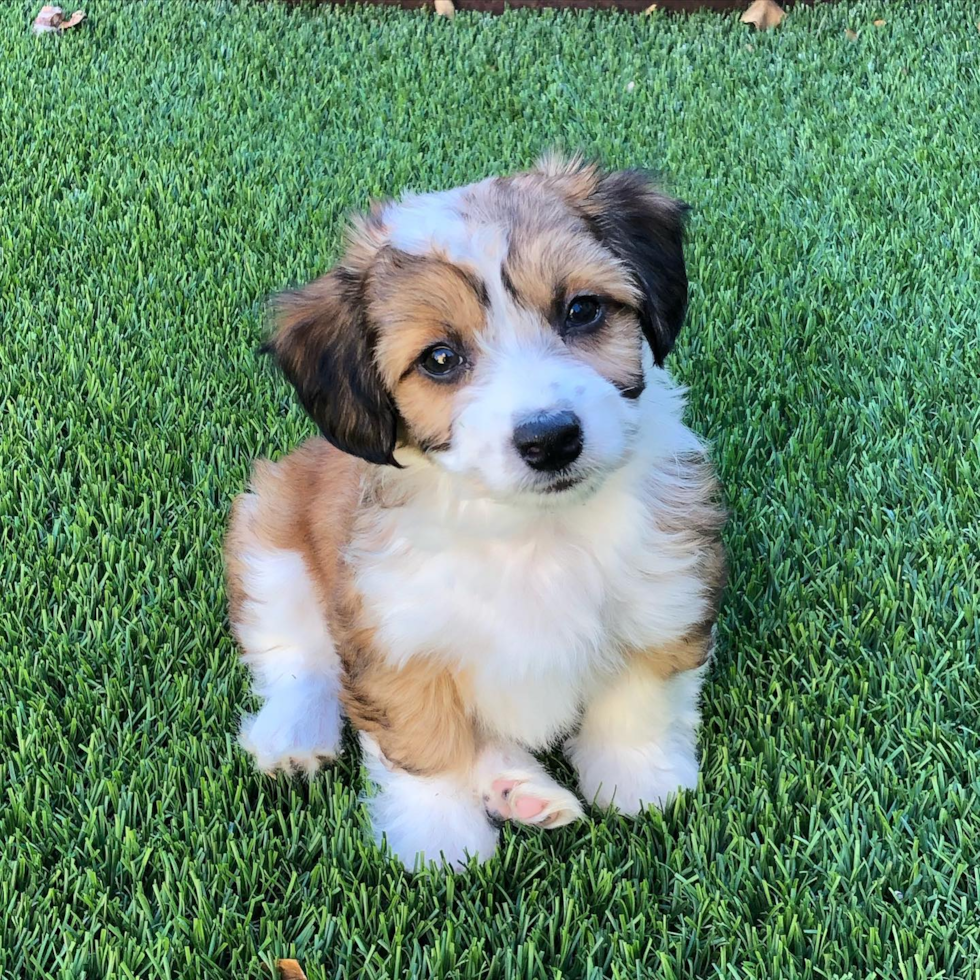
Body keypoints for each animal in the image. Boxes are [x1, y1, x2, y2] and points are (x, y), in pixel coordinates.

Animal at [224, 157, 728, 868]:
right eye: (440, 358)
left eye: (582, 310)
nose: (551, 438)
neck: (532, 531)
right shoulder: (396, 635)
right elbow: (425, 739)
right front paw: (439, 837)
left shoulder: (664, 595)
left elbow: (639, 699)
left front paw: (639, 779)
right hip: (270, 540)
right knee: (298, 655)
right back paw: (292, 734)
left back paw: (520, 790)